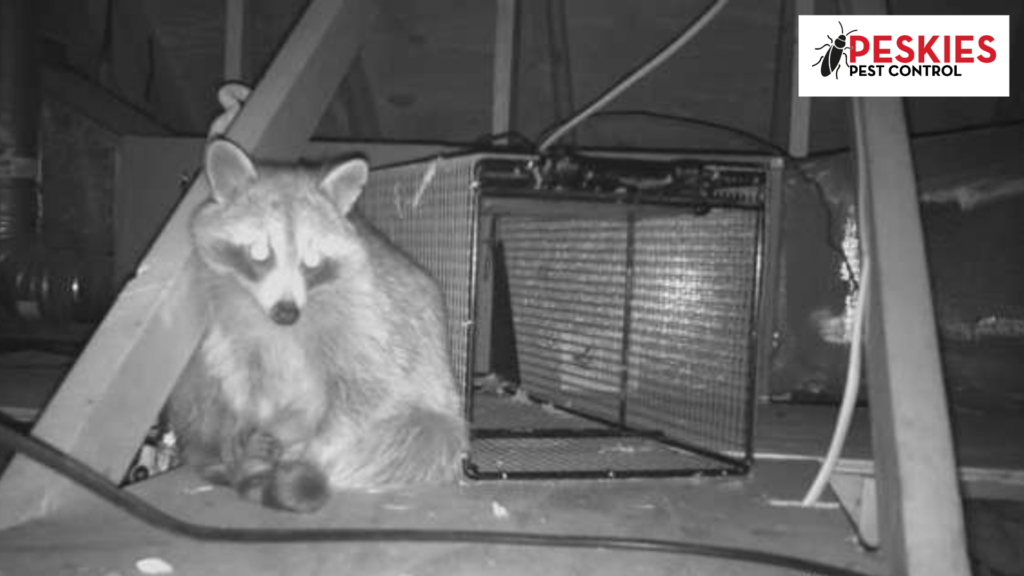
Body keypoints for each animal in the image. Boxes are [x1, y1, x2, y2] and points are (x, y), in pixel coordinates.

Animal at [167, 138, 467, 513]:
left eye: (311, 260)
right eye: (260, 252)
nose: (286, 313)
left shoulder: (367, 317)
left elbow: (369, 389)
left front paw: (315, 449)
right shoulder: (232, 318)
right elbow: (240, 370)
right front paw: (244, 418)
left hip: (433, 421)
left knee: (420, 441)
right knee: (201, 379)